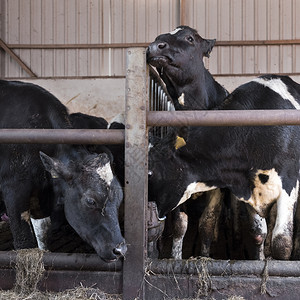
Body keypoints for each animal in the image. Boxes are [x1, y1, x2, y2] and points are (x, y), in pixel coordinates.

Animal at [0, 80, 126, 262]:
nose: (120, 249)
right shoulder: (14, 190)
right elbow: (25, 242)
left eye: (119, 199)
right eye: (90, 201)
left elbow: (43, 234)